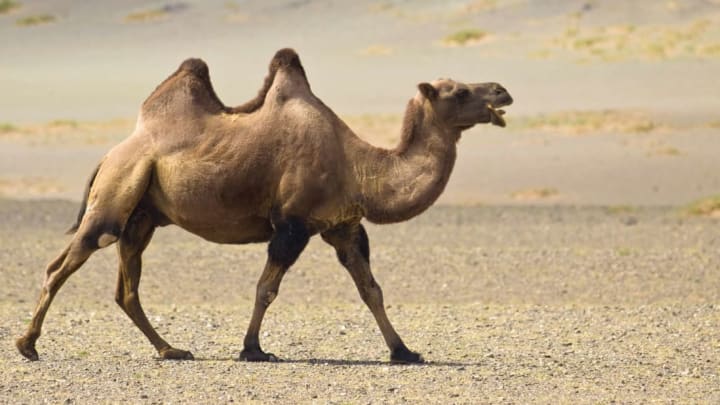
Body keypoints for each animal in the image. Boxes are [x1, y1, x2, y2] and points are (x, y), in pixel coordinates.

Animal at [16, 48, 512, 362]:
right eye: (458, 91)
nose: (502, 90)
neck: (357, 164)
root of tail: (110, 153)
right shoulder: (292, 223)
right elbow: (266, 288)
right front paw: (253, 349)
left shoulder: (343, 226)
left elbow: (371, 289)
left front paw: (404, 351)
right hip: (116, 193)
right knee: (65, 262)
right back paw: (28, 345)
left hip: (143, 216)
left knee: (126, 286)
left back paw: (170, 350)